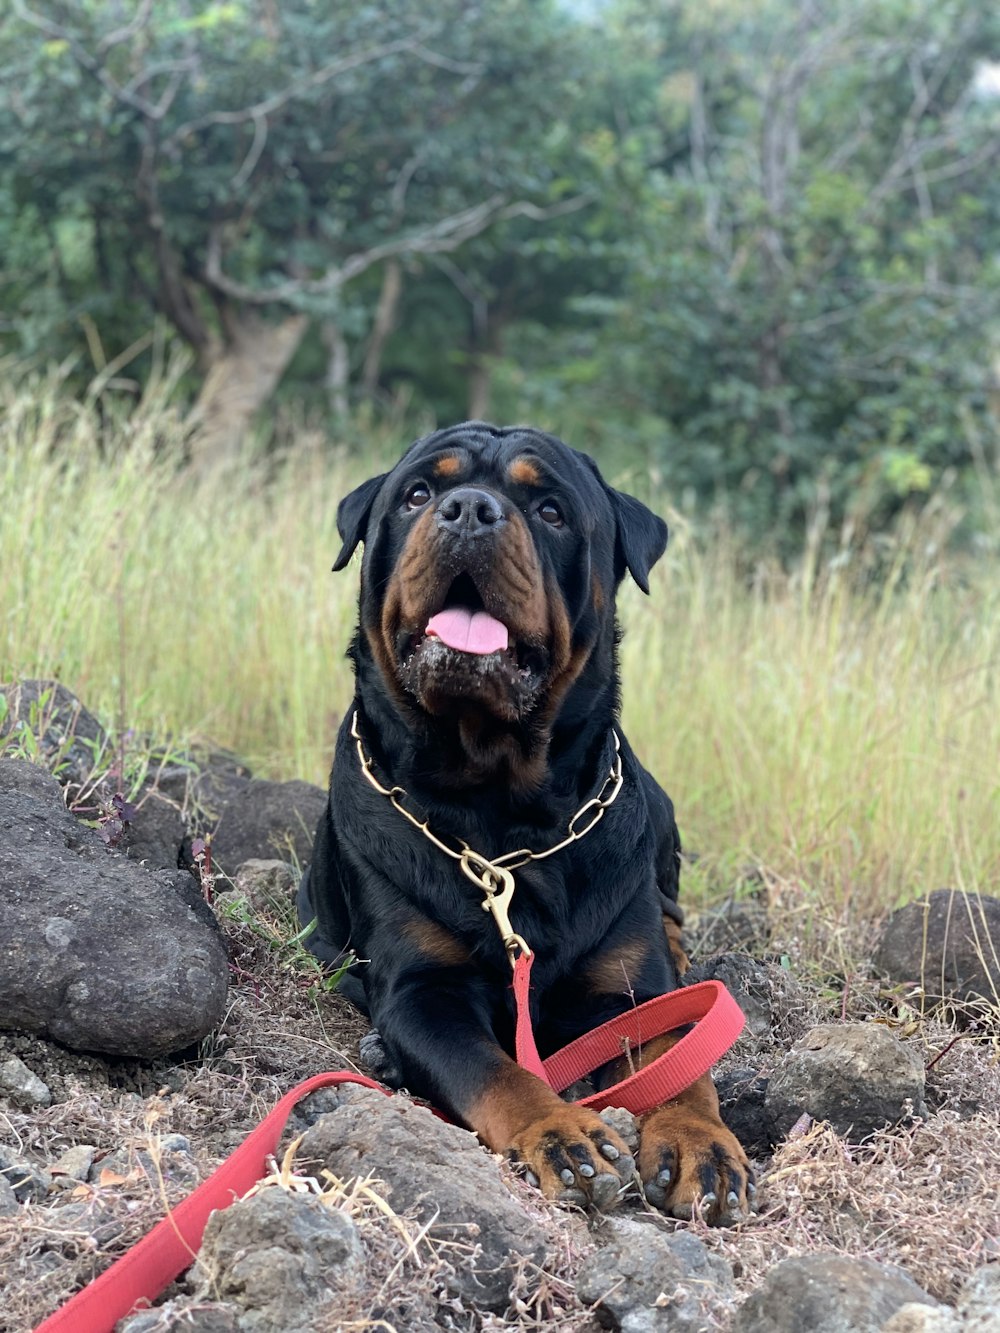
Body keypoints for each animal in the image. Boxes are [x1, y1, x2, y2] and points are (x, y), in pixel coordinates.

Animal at [297, 421, 752, 1221]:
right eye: (419, 492)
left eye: (550, 510)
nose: (469, 510)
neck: (503, 812)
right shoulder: (424, 990)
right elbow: (491, 1068)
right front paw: (559, 1131)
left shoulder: (635, 992)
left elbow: (680, 1058)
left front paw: (701, 1140)